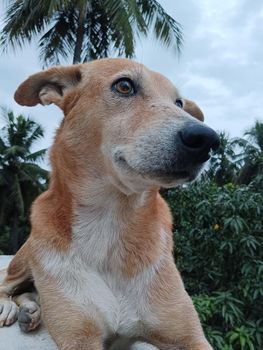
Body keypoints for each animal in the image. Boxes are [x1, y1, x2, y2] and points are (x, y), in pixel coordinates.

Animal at [0, 58, 220, 348]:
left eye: (179, 103)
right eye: (124, 86)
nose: (207, 140)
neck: (113, 217)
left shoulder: (190, 336)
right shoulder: (80, 338)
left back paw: (31, 309)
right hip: (27, 255)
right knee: (6, 283)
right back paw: (13, 307)